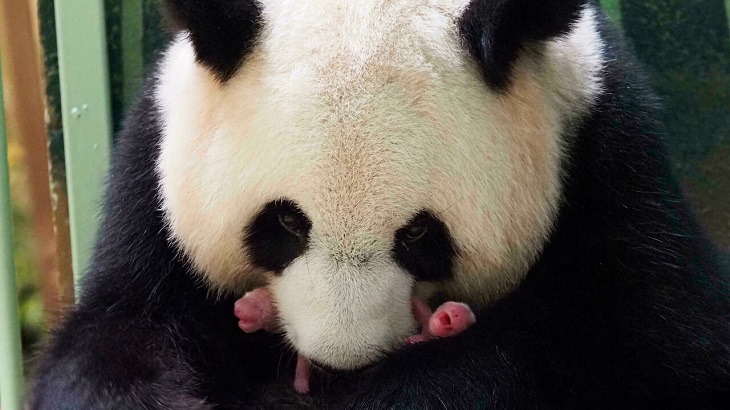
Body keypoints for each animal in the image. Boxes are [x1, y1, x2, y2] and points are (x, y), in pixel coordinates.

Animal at [31, 0, 730, 408]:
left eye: (420, 236)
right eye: (284, 223)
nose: (339, 361)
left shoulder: (610, 165)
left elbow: (648, 358)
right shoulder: (154, 174)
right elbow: (108, 341)